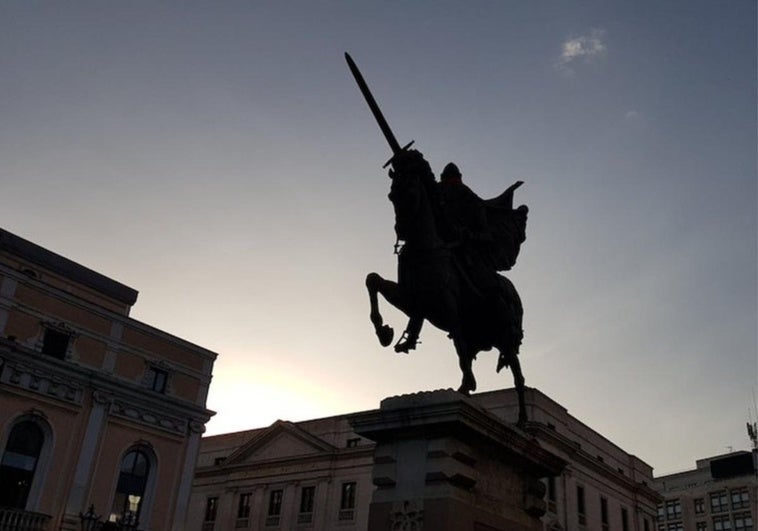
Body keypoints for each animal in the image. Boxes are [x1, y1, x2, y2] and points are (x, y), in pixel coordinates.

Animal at [364, 152, 528, 426]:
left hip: (505, 336)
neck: (424, 249)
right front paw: (384, 332)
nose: (401, 231)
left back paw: (523, 421)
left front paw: (468, 384)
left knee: (518, 377)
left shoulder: (448, 308)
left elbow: (459, 345)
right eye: (391, 195)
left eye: (411, 191)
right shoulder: (412, 301)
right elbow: (372, 280)